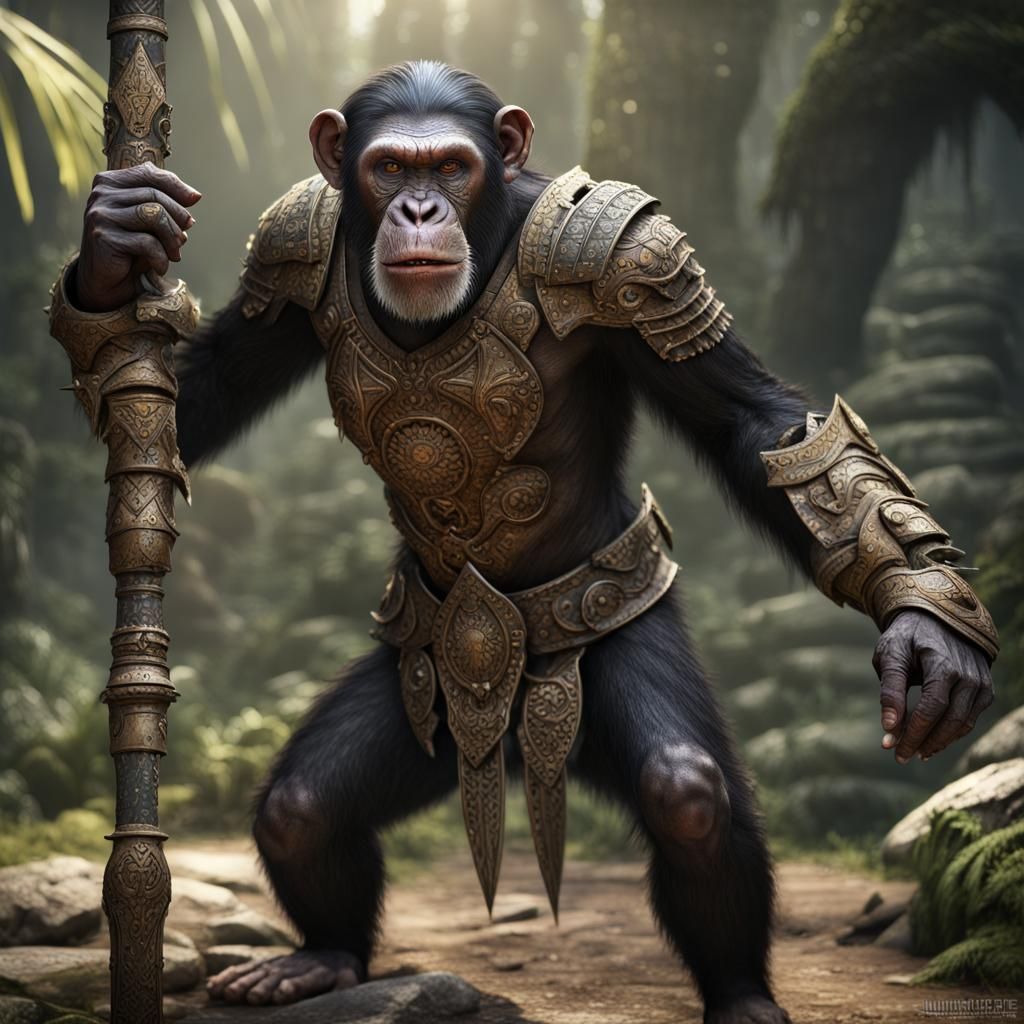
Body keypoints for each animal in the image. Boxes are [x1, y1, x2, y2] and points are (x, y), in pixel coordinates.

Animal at [60, 62, 996, 1024]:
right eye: (389, 168)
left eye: (452, 166)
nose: (420, 210)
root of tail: (507, 744)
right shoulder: (286, 253)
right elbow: (188, 403)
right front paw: (113, 249)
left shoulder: (633, 263)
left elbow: (764, 432)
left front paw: (924, 626)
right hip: (427, 687)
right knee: (302, 809)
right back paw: (320, 959)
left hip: (603, 644)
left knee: (688, 798)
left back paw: (739, 991)